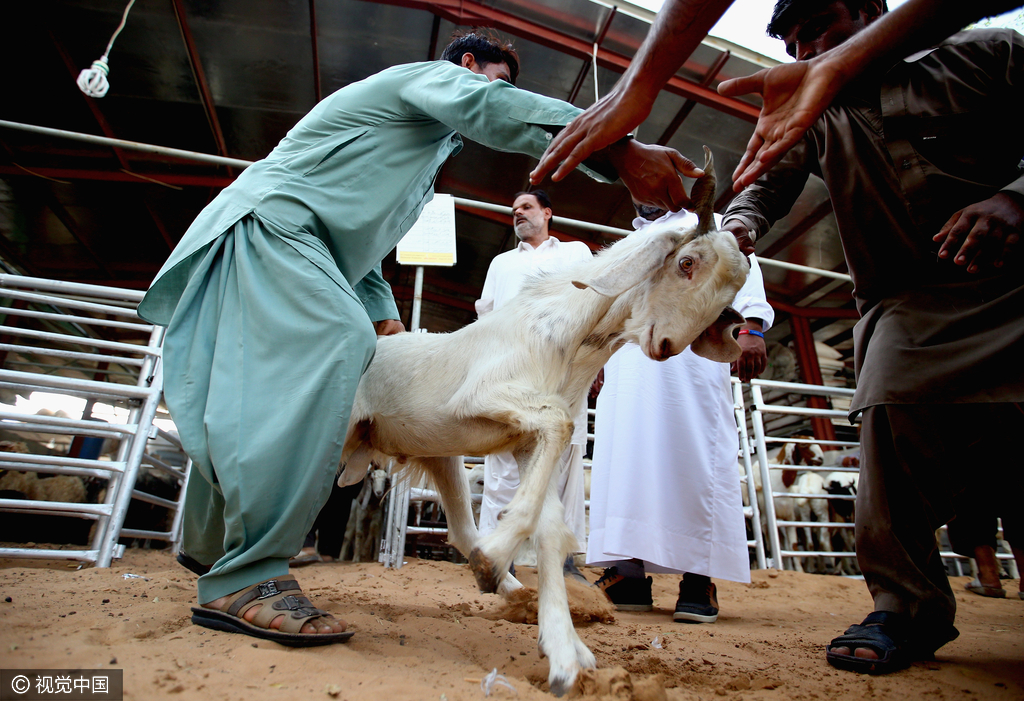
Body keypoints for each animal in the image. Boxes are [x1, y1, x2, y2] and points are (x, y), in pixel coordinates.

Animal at [339, 147, 749, 695]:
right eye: (686, 262)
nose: (665, 347)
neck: (570, 335)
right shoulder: (489, 396)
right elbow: (560, 424)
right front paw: (497, 557)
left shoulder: (524, 441)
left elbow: (550, 528)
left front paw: (565, 653)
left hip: (441, 453)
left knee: (461, 531)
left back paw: (510, 590)